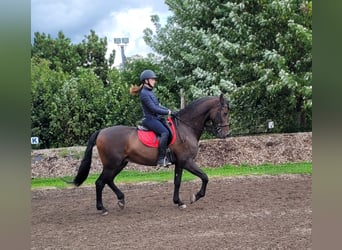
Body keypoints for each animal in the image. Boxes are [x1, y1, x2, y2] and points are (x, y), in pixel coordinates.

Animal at [71, 93, 230, 214]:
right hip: (112, 164)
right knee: (100, 183)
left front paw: (179, 202)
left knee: (108, 180)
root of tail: (101, 132)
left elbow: (177, 182)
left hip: (120, 164)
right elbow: (205, 177)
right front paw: (195, 196)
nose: (226, 134)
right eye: (225, 113)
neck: (185, 127)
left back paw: (121, 200)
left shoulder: (180, 163)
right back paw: (102, 208)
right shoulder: (187, 161)